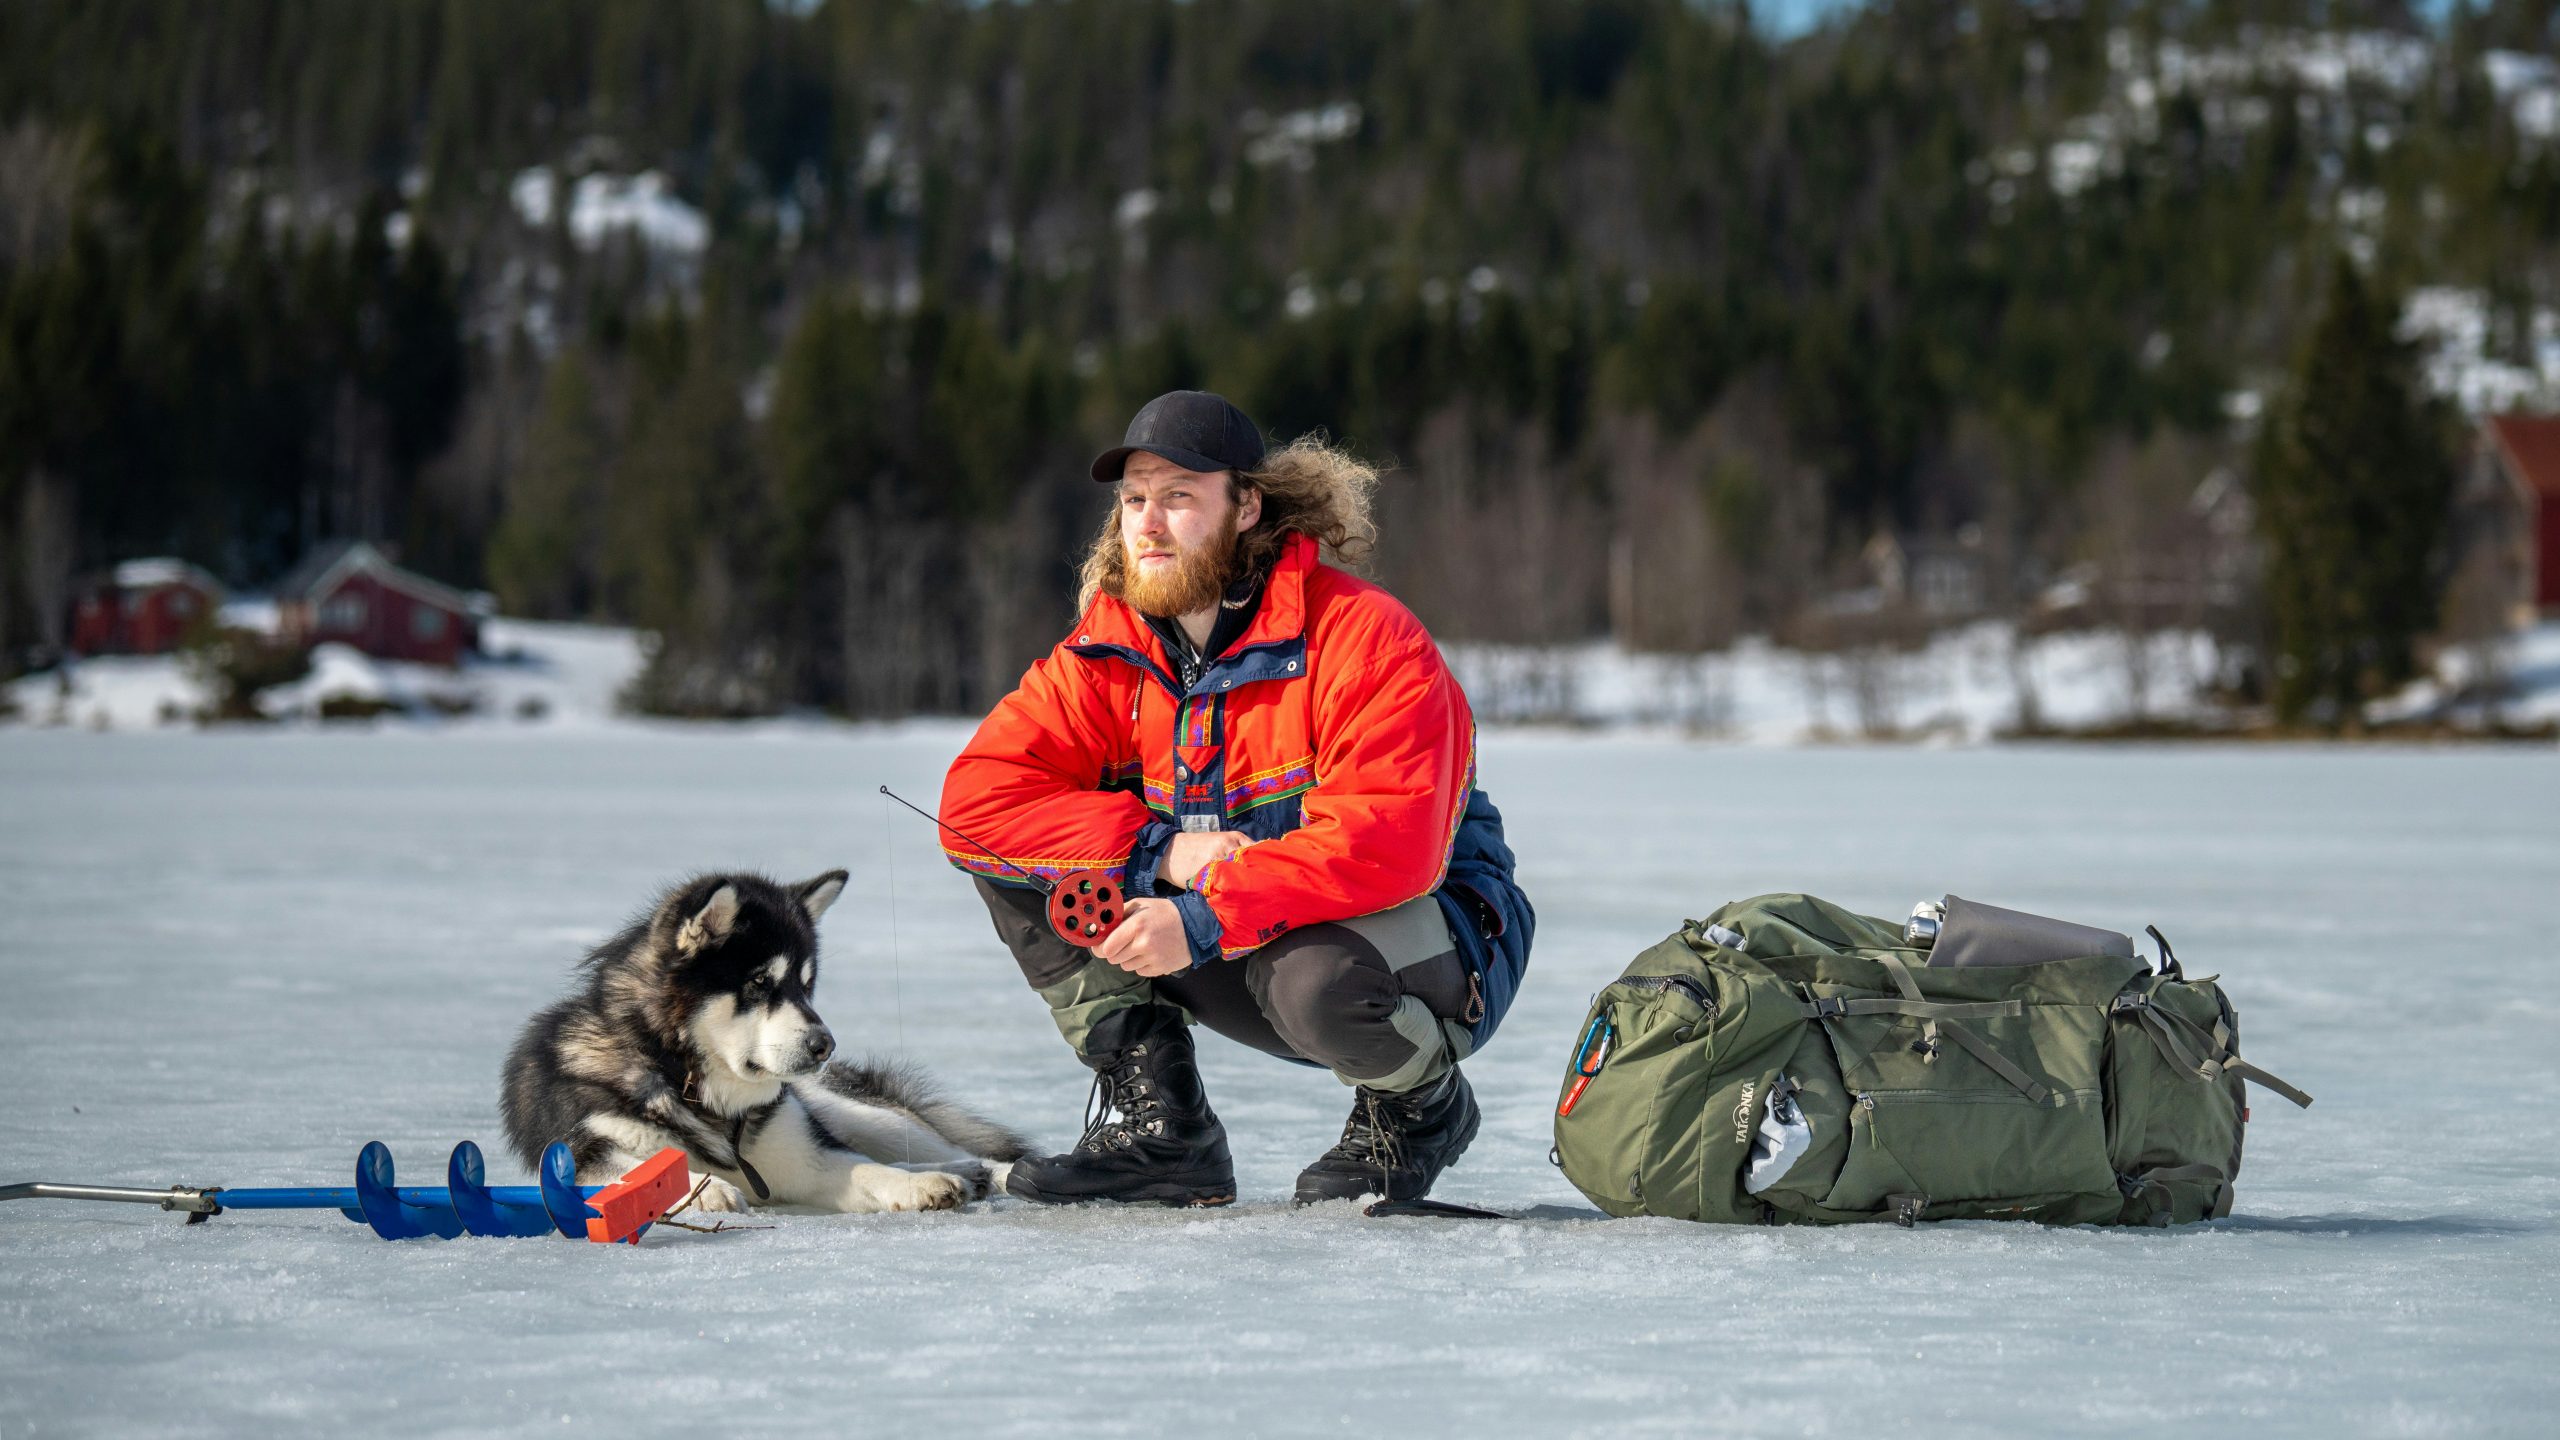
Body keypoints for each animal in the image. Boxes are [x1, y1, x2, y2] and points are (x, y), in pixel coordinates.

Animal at [504, 860, 1024, 1209]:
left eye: (805, 985)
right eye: (759, 982)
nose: (823, 1045)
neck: (698, 1091)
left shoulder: (802, 1154)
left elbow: (864, 1168)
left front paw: (921, 1185)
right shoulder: (585, 1152)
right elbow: (638, 1171)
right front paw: (704, 1191)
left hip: (859, 1114)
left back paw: (986, 1172)